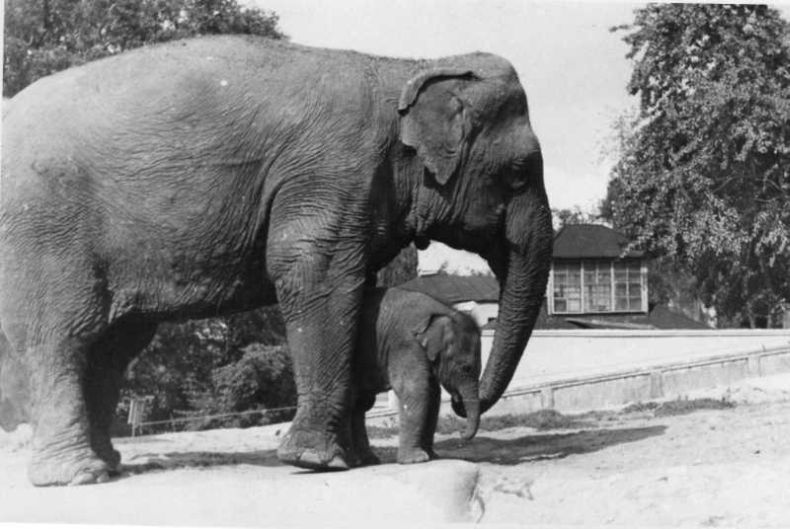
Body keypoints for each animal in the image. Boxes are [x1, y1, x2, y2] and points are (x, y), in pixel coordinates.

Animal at [352, 286, 482, 464]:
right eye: (465, 368)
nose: (461, 433)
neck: (445, 311)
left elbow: (433, 394)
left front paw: (432, 457)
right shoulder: (405, 343)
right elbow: (415, 388)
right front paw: (416, 460)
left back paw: (367, 460)